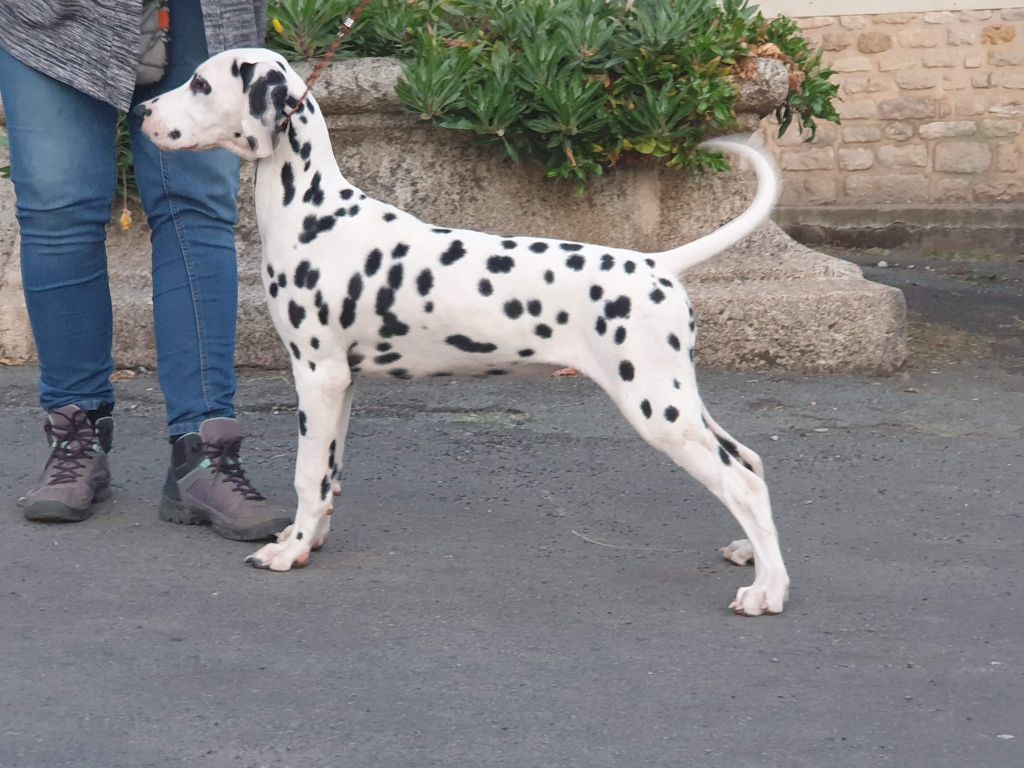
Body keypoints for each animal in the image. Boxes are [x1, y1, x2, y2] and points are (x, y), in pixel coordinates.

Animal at [136, 48, 790, 618]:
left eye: (200, 83)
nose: (142, 111)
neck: (313, 212)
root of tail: (659, 264)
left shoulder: (316, 375)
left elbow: (306, 474)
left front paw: (289, 550)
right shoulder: (342, 384)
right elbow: (328, 475)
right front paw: (310, 537)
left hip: (659, 409)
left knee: (741, 482)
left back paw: (769, 590)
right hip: (676, 400)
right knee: (750, 461)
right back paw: (750, 554)